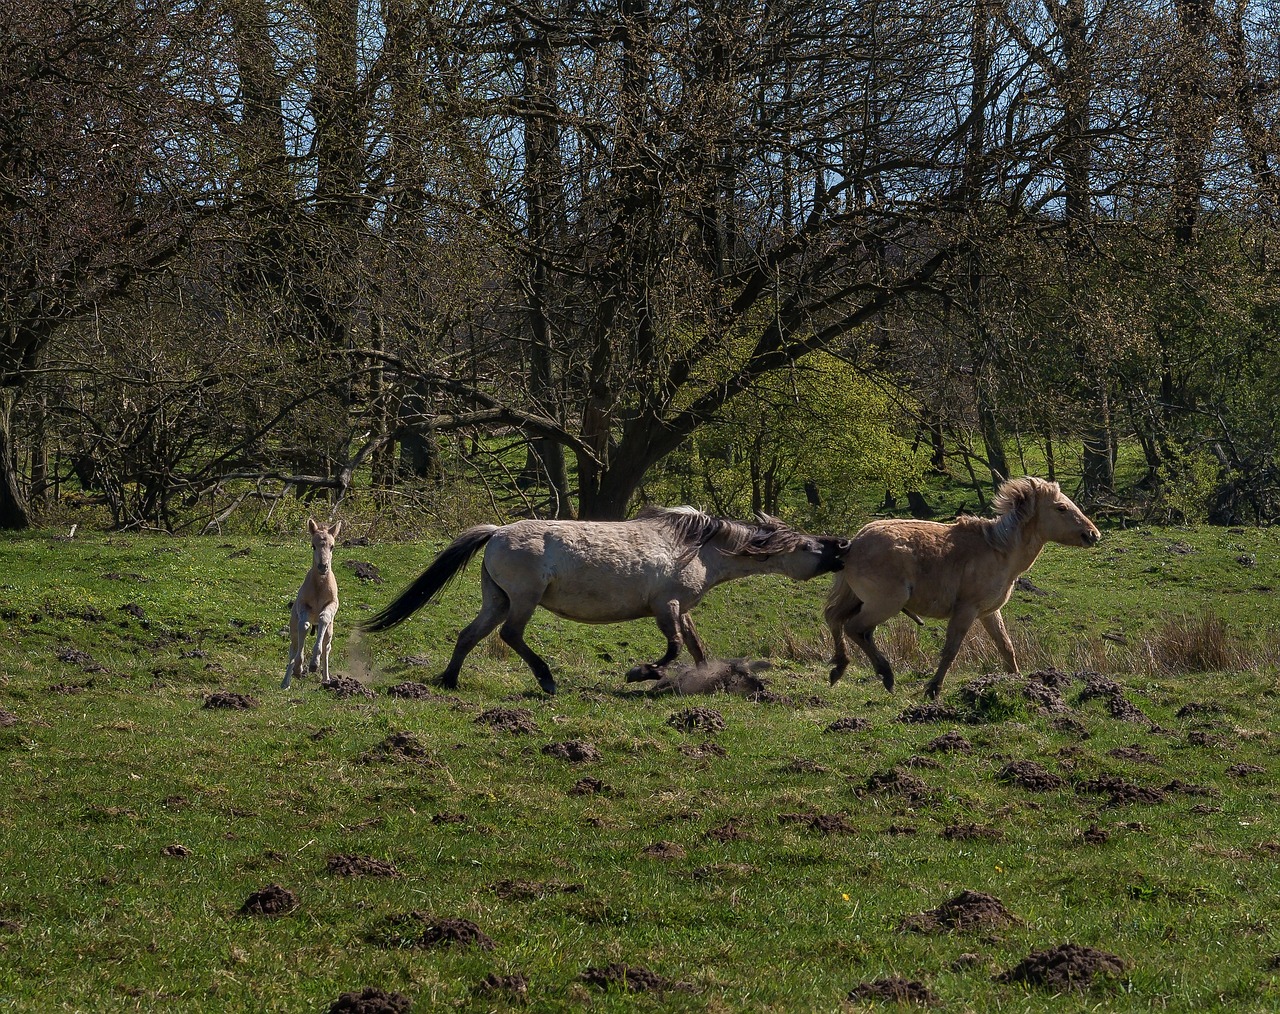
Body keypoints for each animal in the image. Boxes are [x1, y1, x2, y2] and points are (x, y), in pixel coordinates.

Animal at [281, 514, 340, 691]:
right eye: (313, 546)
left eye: (332, 546)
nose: (322, 566)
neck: (319, 587)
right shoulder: (302, 606)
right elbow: (304, 626)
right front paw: (299, 667)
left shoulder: (332, 604)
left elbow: (324, 618)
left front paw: (314, 663)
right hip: (293, 627)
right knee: (292, 648)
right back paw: (286, 681)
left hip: (330, 631)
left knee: (327, 646)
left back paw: (326, 679)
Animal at [360, 507, 849, 696]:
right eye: (809, 546)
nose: (841, 547)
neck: (699, 550)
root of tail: (497, 533)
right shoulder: (667, 607)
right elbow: (673, 648)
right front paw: (643, 673)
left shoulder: (682, 610)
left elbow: (695, 649)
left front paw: (712, 680)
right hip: (522, 600)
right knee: (511, 636)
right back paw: (547, 680)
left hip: (496, 599)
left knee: (470, 635)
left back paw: (449, 681)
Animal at [824, 478, 1105, 701]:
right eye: (1061, 507)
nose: (1093, 534)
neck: (999, 550)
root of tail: (854, 544)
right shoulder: (966, 610)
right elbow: (951, 650)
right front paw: (933, 689)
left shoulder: (988, 613)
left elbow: (1006, 647)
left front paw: (1019, 682)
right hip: (885, 604)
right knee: (855, 628)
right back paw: (885, 674)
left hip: (858, 600)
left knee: (837, 620)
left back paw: (839, 669)